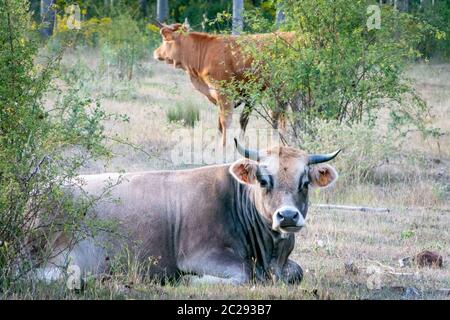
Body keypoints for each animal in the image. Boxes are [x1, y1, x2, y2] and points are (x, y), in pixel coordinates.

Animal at [34, 140, 338, 284]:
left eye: (305, 183)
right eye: (264, 181)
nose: (287, 216)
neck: (271, 255)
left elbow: (296, 271)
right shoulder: (199, 255)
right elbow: (245, 274)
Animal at [155, 22, 296, 146]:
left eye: (164, 39)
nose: (155, 52)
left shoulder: (224, 93)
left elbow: (226, 121)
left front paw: (224, 147)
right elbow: (225, 122)